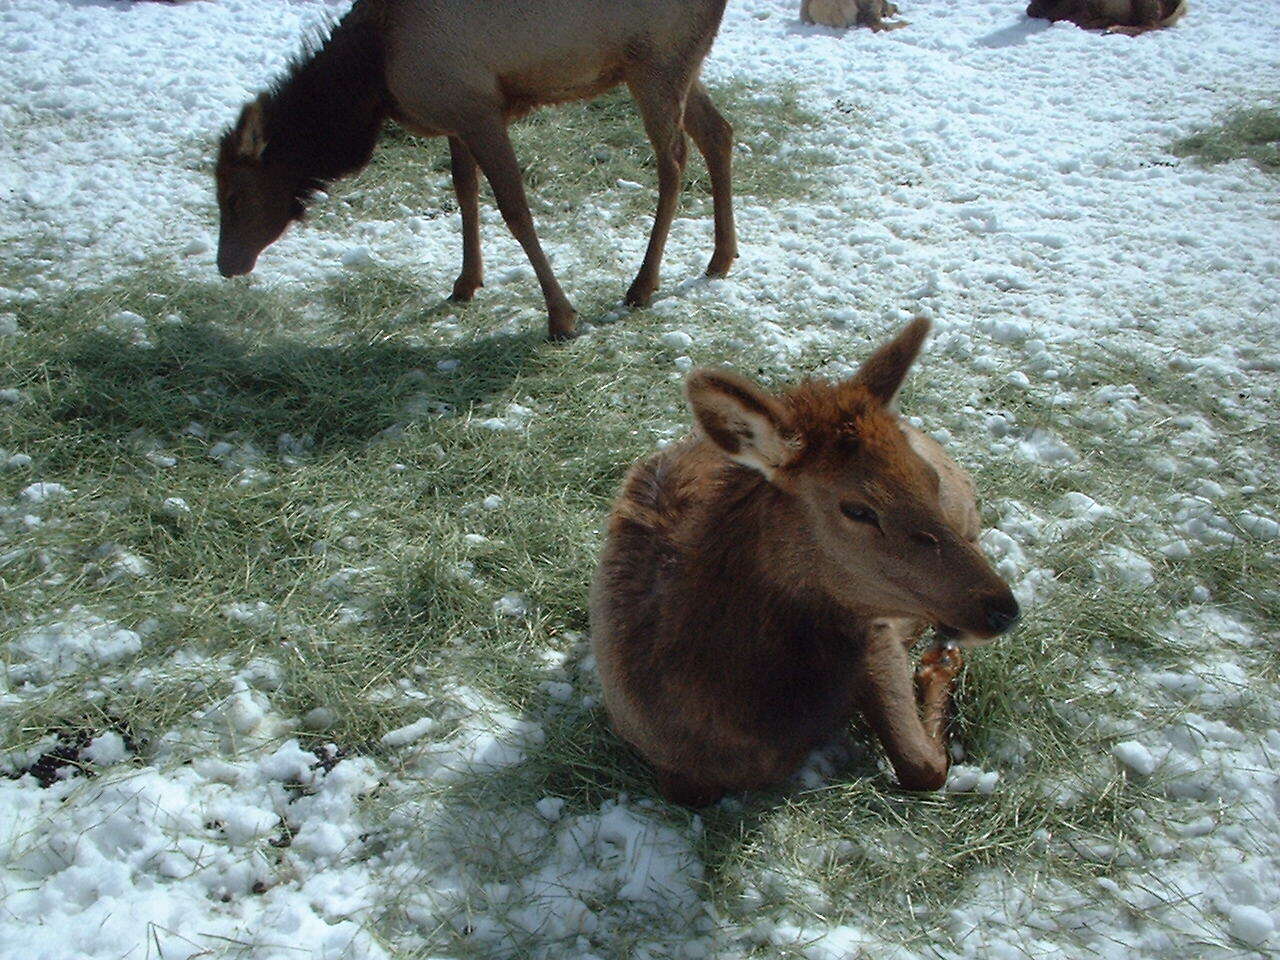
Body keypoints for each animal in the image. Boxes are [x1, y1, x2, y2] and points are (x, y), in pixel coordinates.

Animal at [215, 0, 742, 340]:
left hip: (655, 61)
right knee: (719, 133)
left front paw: (561, 317)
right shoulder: (456, 116)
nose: (226, 264)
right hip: (680, 63)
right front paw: (466, 282)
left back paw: (643, 284)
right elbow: (464, 192)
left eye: (235, 196)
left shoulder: (480, 111)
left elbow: (514, 209)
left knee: (673, 161)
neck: (373, 82)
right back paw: (721, 257)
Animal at [588, 320, 1018, 808]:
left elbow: (922, 766)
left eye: (927, 480)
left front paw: (937, 664)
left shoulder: (874, 633)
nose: (1002, 608)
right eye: (857, 509)